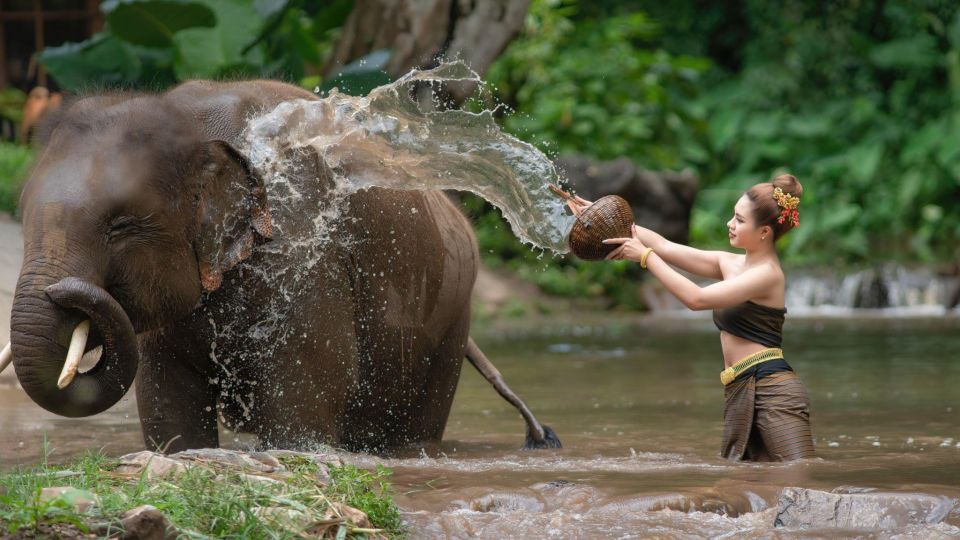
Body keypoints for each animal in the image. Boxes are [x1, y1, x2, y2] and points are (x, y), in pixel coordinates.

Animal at [5, 78, 564, 454]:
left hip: (450, 320)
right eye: (22, 213)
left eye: (119, 225)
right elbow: (168, 406)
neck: (189, 120)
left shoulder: (305, 256)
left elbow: (303, 402)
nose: (62, 292)